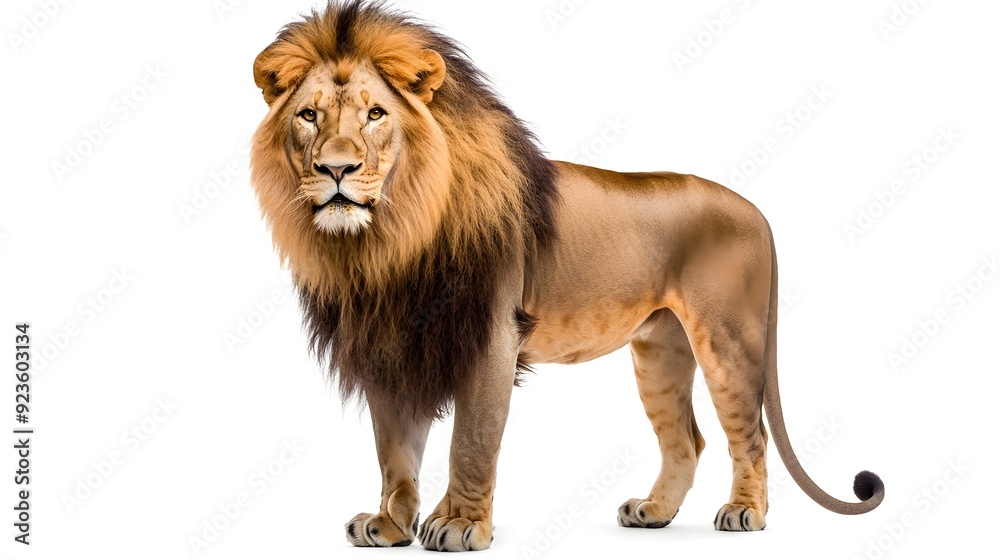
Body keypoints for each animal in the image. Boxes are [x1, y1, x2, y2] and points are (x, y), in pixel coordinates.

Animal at [249, 0, 884, 551]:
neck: (387, 242)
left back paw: (745, 512)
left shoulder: (491, 336)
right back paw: (653, 512)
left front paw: (459, 525)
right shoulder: (391, 345)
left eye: (376, 114)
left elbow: (470, 442)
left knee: (748, 434)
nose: (336, 169)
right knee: (687, 439)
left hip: (728, 339)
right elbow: (394, 450)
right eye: (309, 115)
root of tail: (757, 211)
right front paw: (389, 524)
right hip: (659, 350)